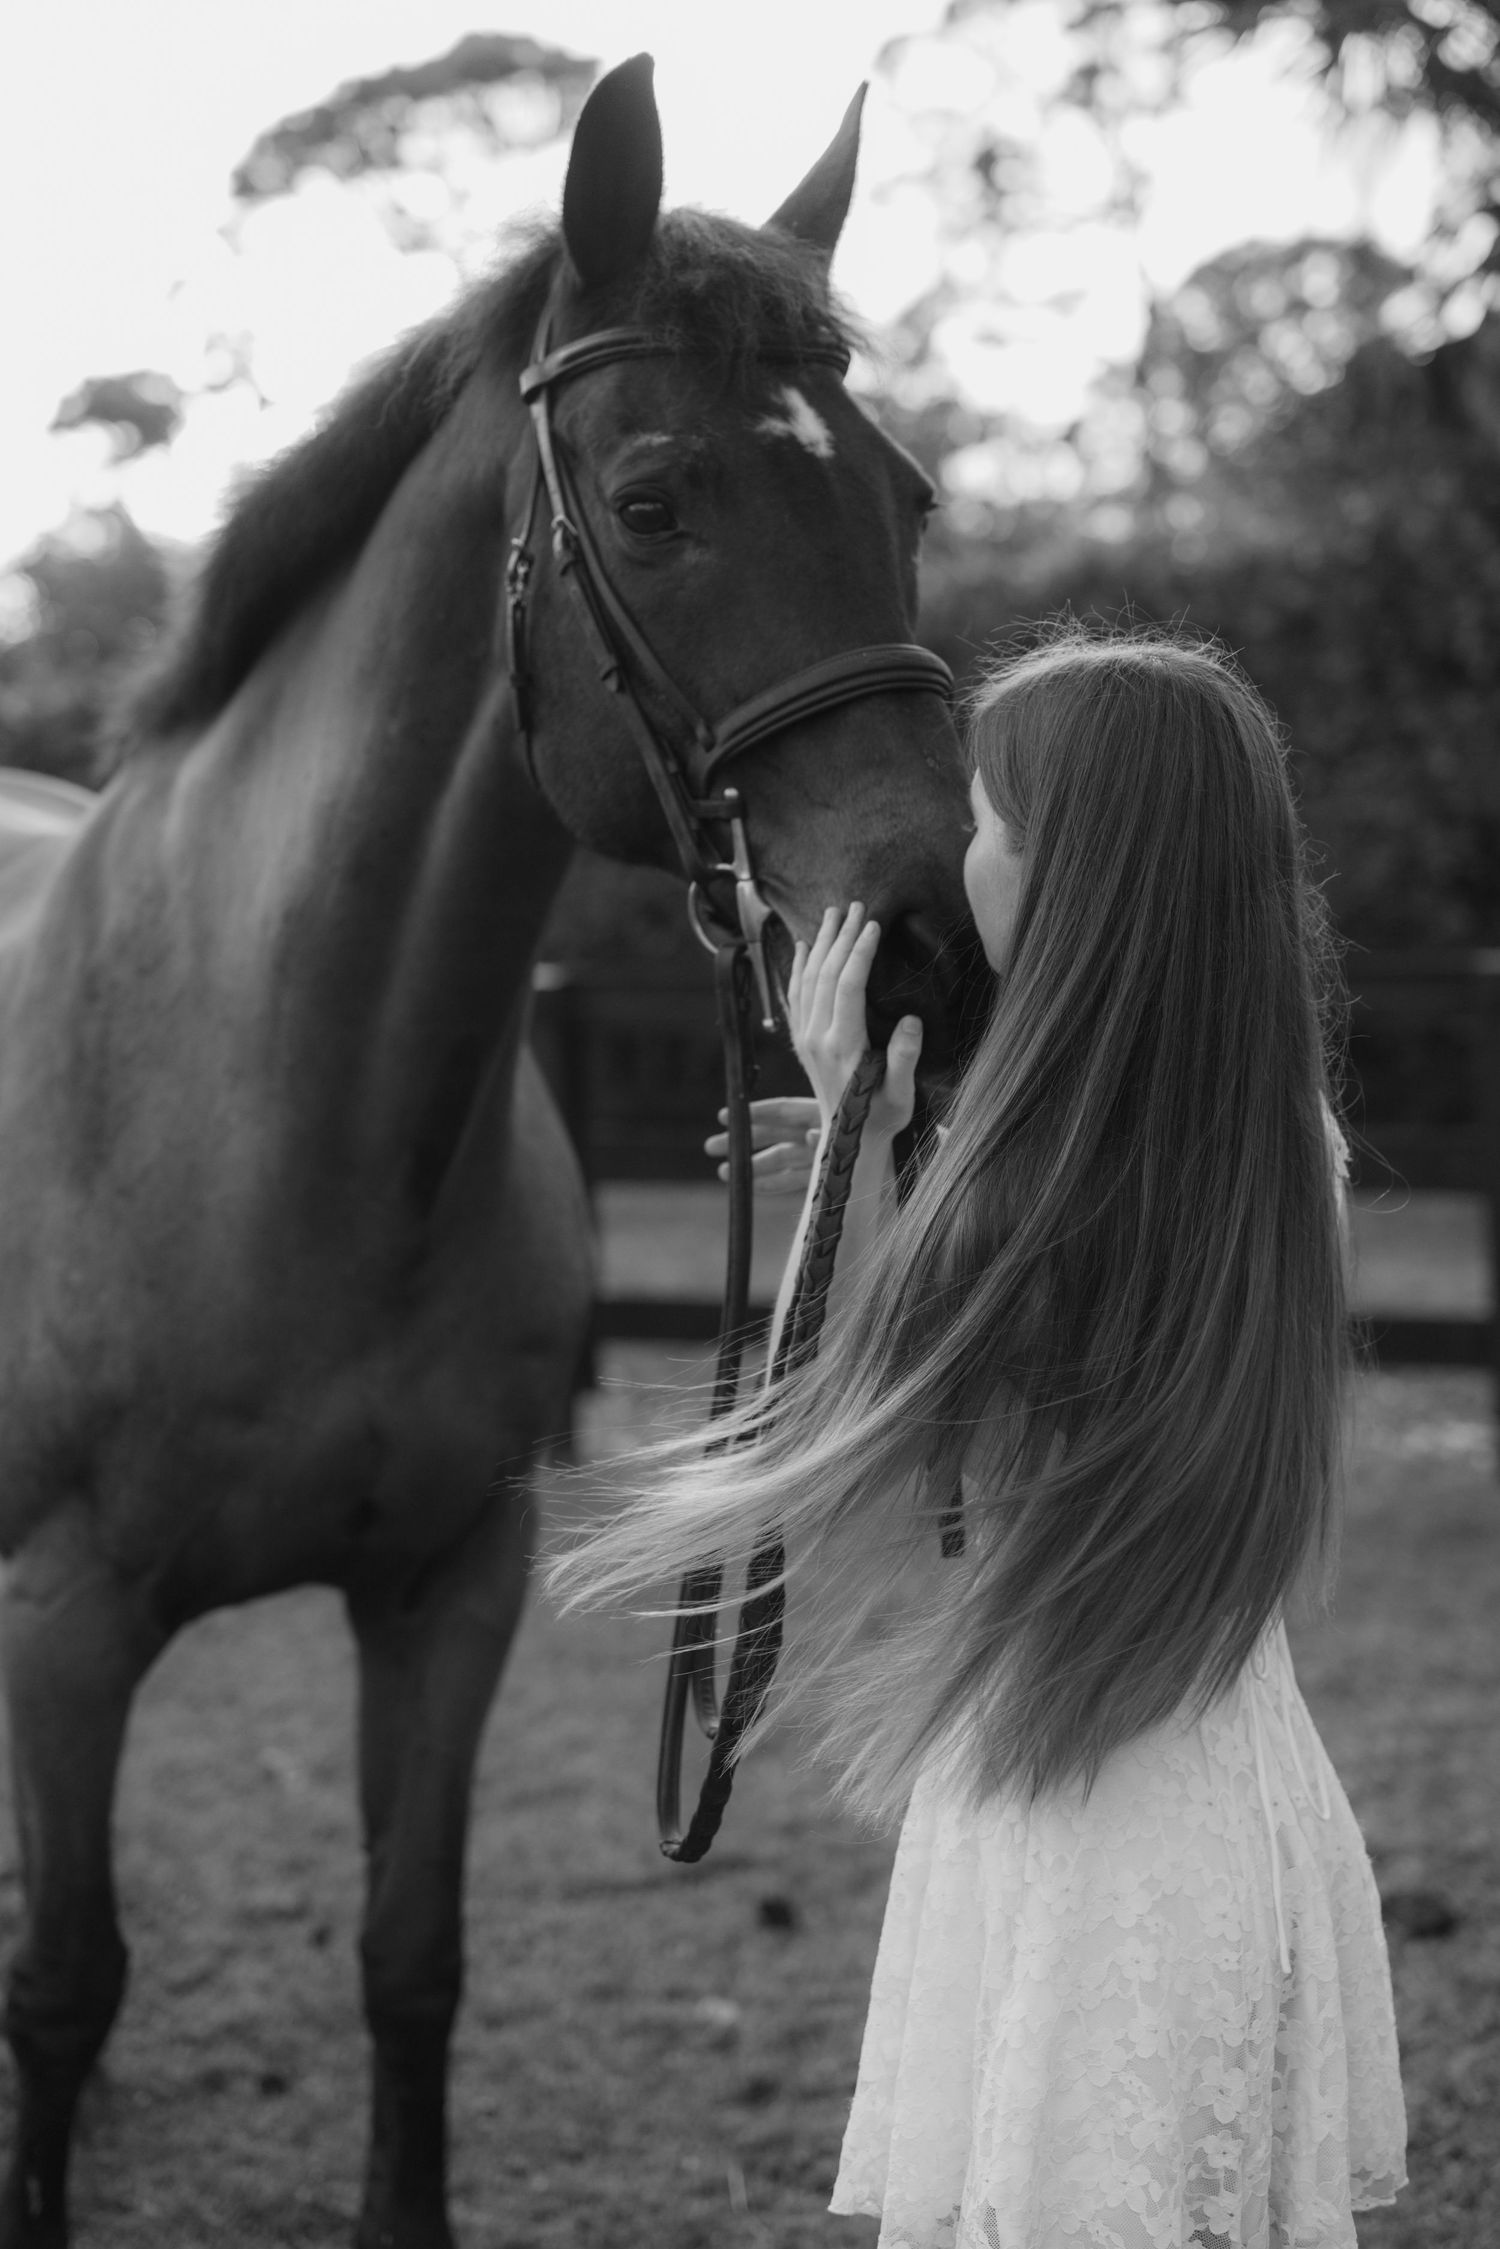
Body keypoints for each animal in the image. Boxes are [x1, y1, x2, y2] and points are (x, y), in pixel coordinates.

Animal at [0, 55, 979, 2249]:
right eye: (654, 499)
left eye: (904, 498)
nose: (931, 957)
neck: (283, 1116)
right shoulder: (68, 1618)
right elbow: (69, 1978)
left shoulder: (453, 1585)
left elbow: (410, 1953)